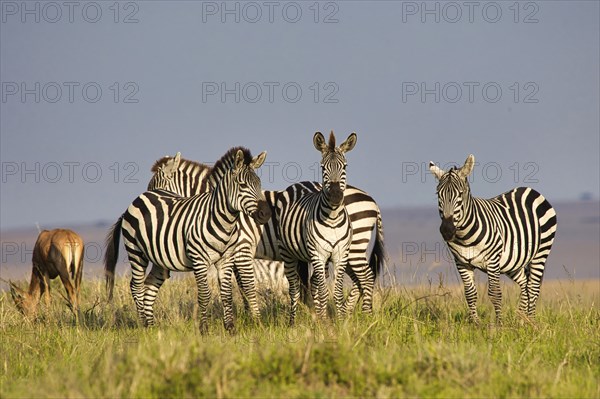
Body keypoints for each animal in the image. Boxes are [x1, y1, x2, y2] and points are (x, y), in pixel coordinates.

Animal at [104, 148, 270, 332]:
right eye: (243, 185)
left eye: (259, 184)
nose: (266, 214)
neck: (223, 219)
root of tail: (132, 203)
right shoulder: (204, 259)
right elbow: (208, 294)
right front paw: (205, 329)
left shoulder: (227, 258)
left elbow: (228, 294)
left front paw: (232, 328)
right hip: (136, 252)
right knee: (136, 286)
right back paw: (144, 326)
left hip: (159, 259)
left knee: (149, 285)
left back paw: (152, 327)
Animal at [148, 152, 386, 318]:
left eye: (155, 187)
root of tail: (372, 200)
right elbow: (242, 287)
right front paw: (246, 315)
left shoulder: (241, 249)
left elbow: (246, 286)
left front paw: (252, 318)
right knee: (359, 280)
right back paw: (347, 313)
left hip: (352, 247)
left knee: (366, 277)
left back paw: (359, 315)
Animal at [276, 131, 356, 324]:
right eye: (323, 168)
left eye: (345, 167)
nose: (335, 196)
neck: (333, 218)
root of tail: (298, 184)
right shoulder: (318, 254)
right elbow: (323, 291)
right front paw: (324, 322)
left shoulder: (340, 255)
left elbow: (335, 291)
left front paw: (339, 322)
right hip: (288, 253)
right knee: (294, 288)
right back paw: (292, 323)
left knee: (312, 284)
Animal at [428, 154, 556, 324]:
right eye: (438, 194)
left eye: (460, 194)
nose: (447, 230)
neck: (465, 236)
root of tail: (530, 190)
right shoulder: (461, 263)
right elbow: (470, 294)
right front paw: (475, 324)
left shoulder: (493, 260)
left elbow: (495, 294)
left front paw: (499, 325)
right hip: (513, 261)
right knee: (524, 283)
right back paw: (520, 320)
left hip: (541, 252)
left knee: (533, 287)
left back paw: (531, 322)